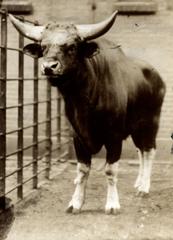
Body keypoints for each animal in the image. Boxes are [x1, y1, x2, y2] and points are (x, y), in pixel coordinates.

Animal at [9, 11, 165, 215]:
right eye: (43, 46)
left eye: (72, 46)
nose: (49, 67)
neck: (85, 102)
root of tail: (158, 78)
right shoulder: (78, 137)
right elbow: (82, 170)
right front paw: (75, 203)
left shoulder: (114, 137)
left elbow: (110, 170)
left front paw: (112, 204)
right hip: (136, 129)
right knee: (141, 151)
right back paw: (138, 183)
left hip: (150, 123)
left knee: (149, 151)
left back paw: (144, 187)